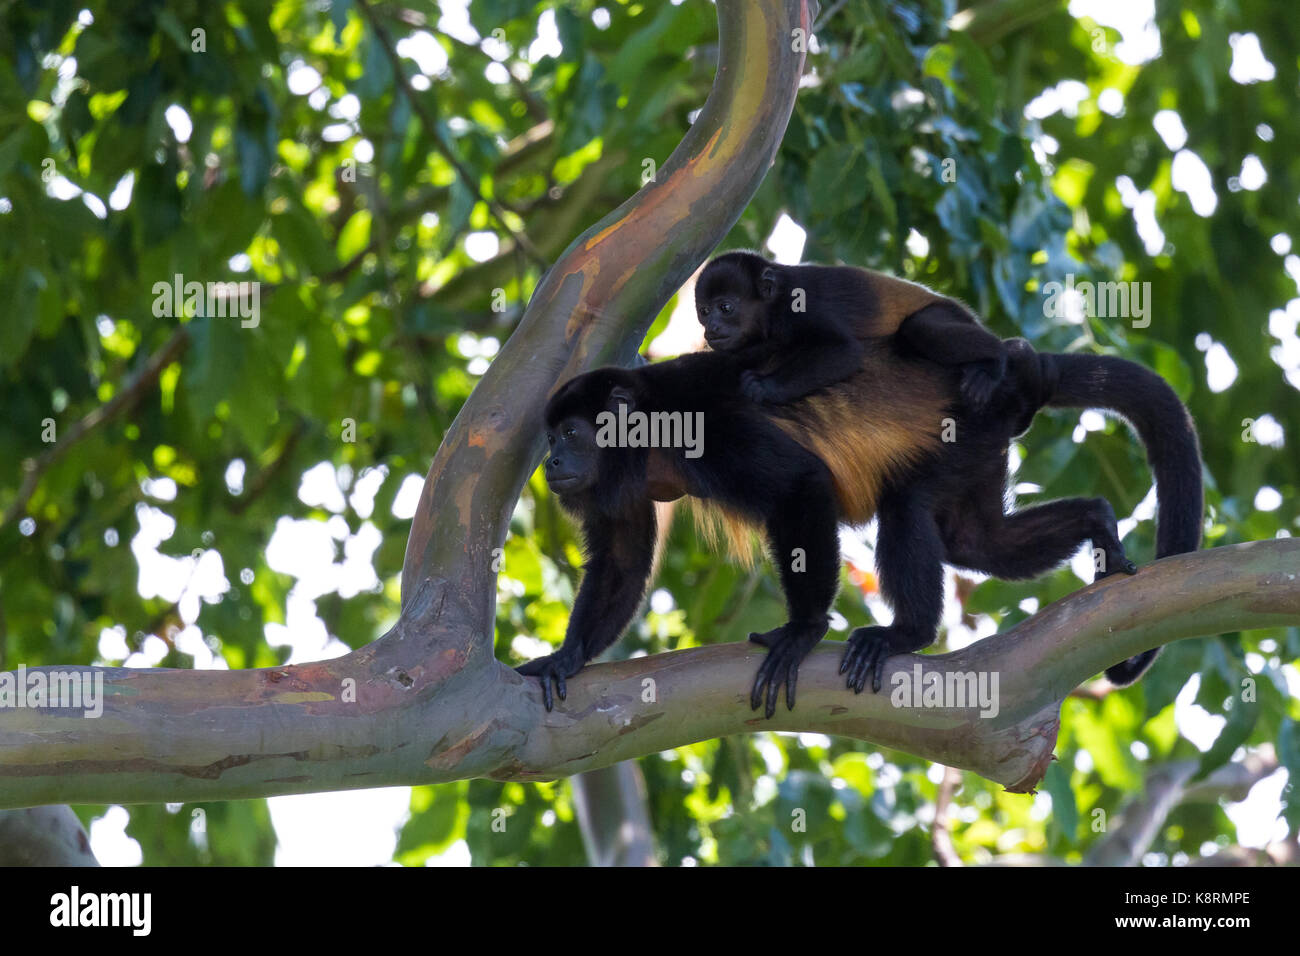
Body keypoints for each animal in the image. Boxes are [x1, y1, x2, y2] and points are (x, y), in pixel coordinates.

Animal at [696, 247, 1008, 408]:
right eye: (704, 311)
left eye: (726, 308)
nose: (711, 327)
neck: (773, 305)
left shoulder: (799, 306)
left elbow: (844, 352)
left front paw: (763, 386)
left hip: (945, 313)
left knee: (920, 328)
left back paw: (994, 361)